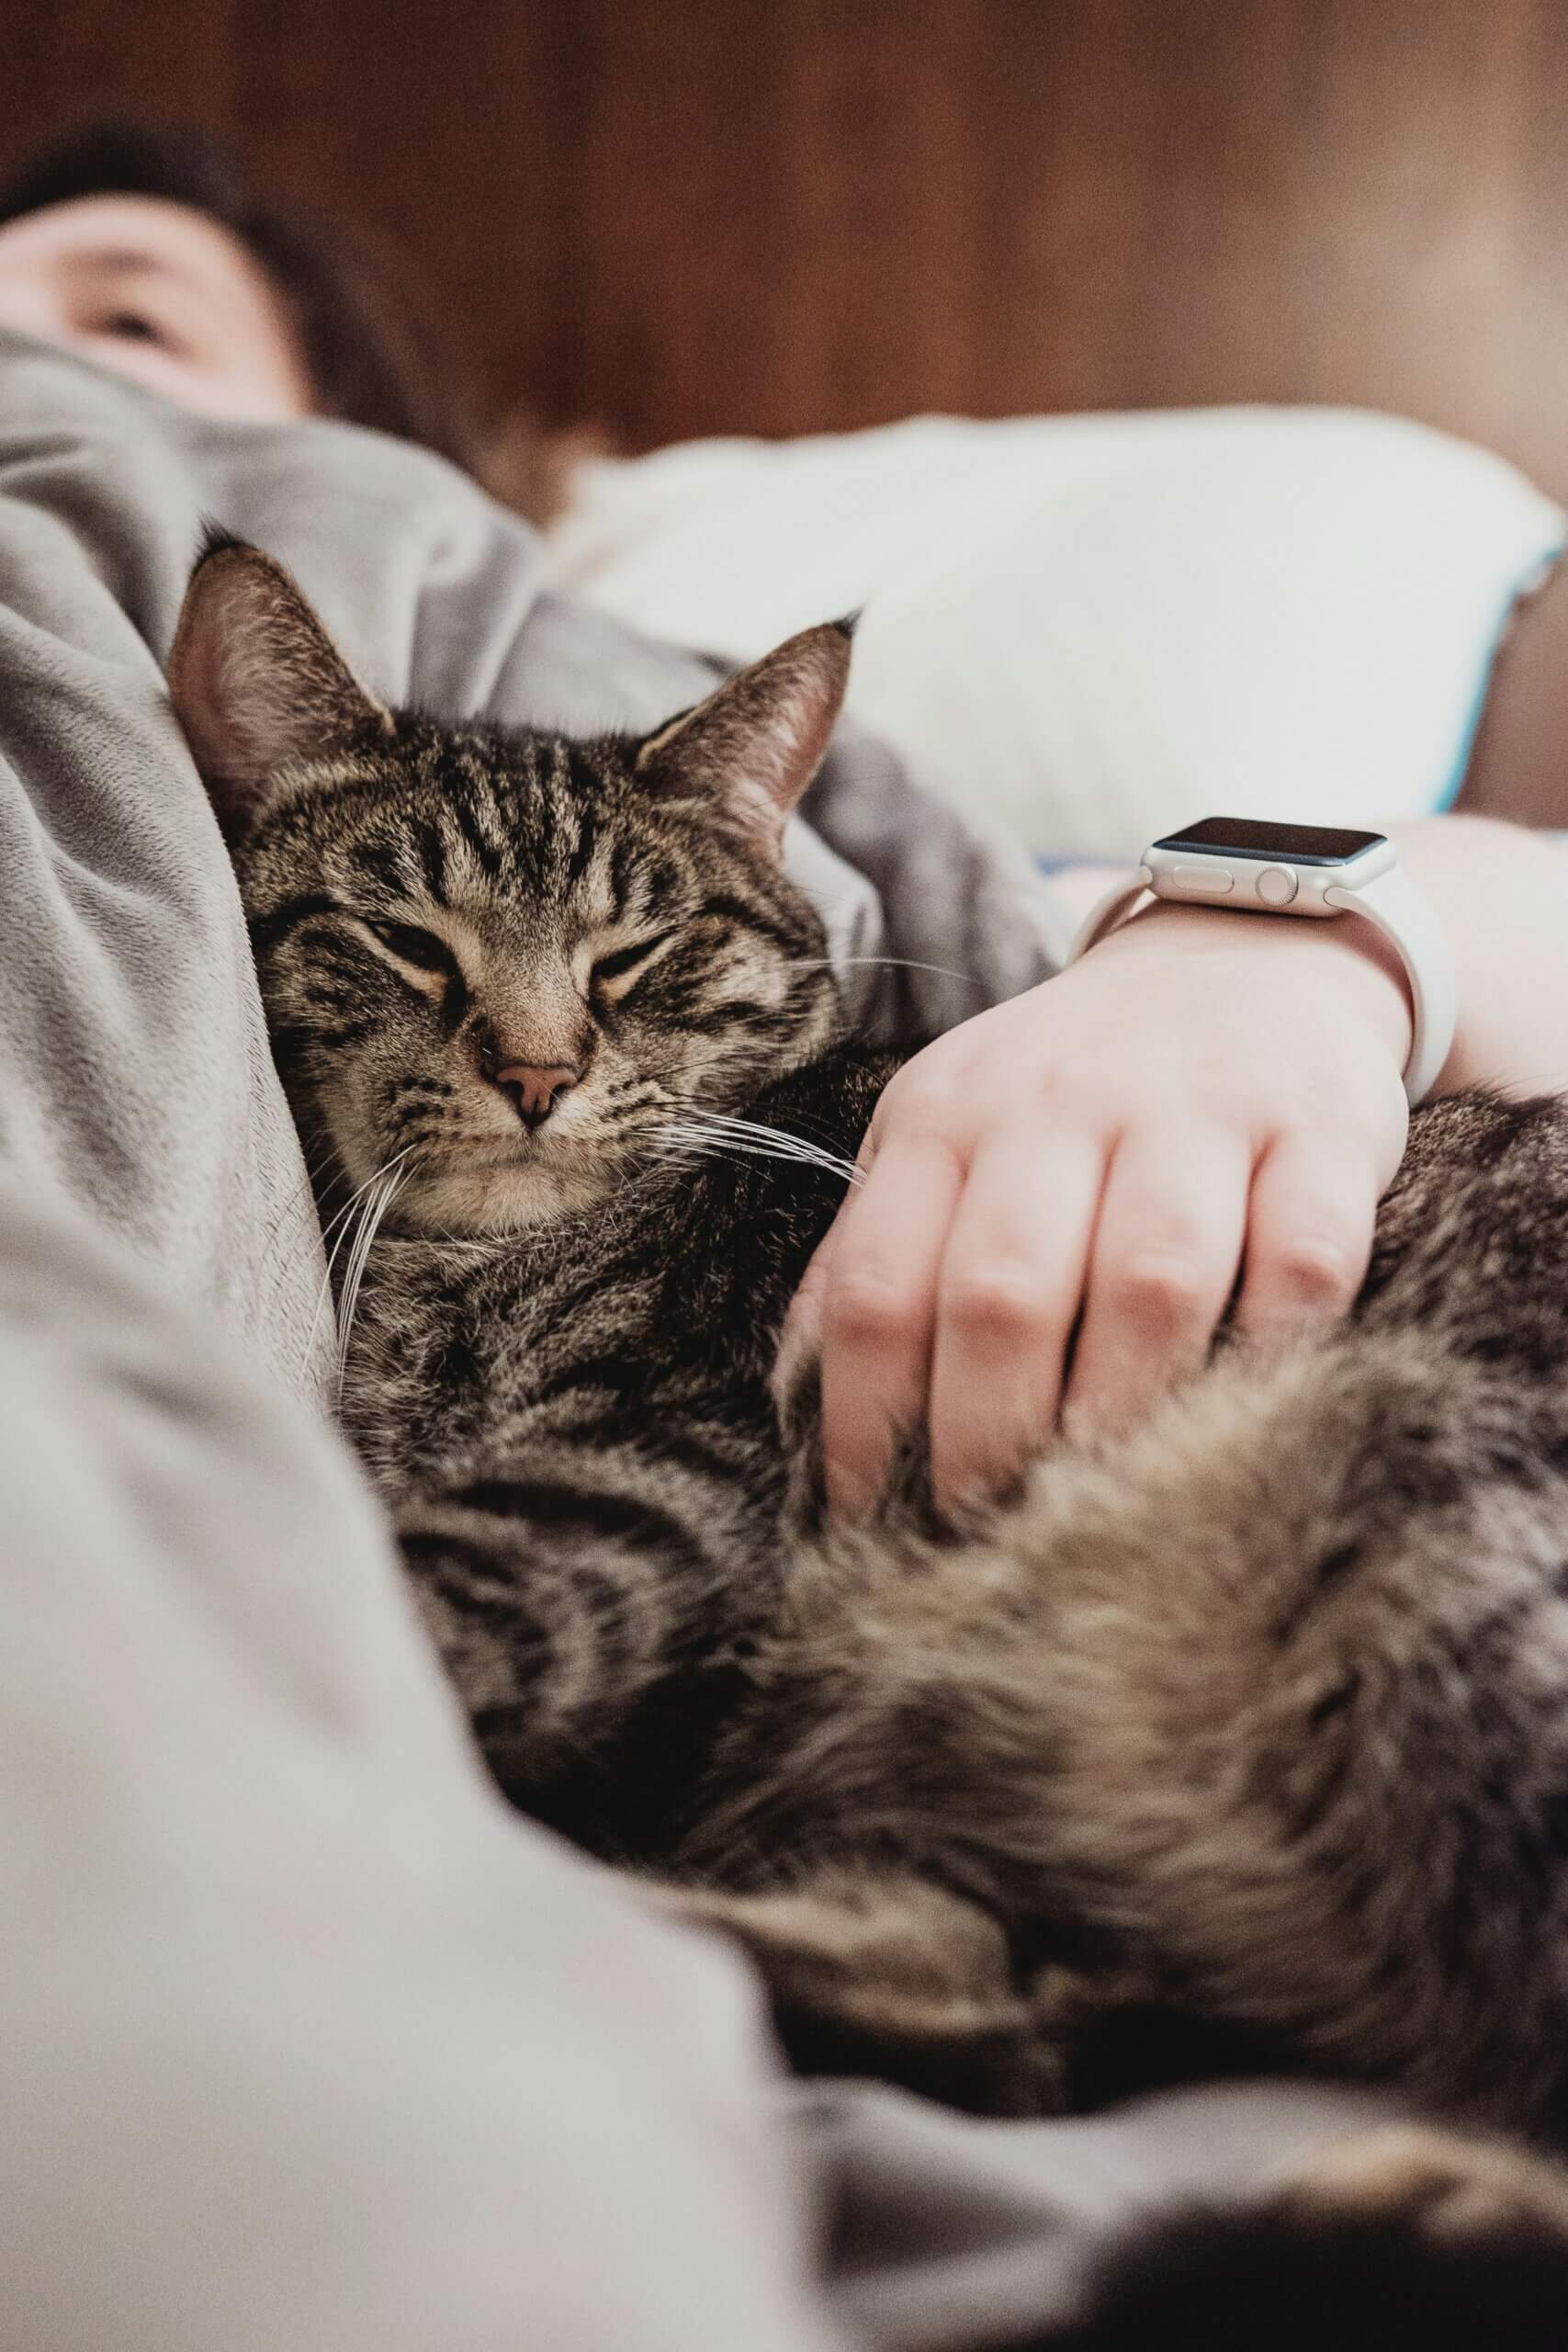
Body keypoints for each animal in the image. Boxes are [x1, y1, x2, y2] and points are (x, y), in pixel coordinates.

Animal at [169, 538, 1568, 2314]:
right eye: (405, 939)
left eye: (638, 956)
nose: (539, 1073)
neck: (459, 1276)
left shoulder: (663, 1469)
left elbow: (415, 1597)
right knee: (999, 2014)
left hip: (1441, 1532)